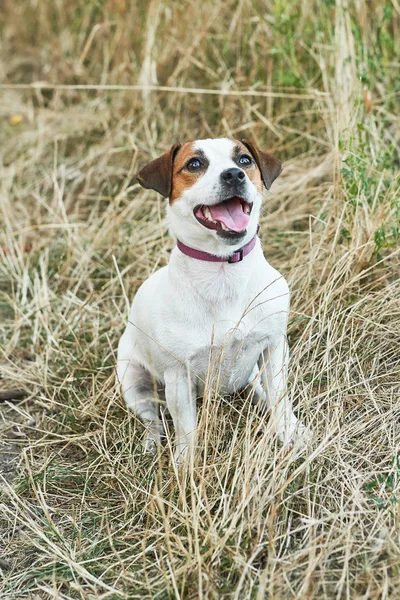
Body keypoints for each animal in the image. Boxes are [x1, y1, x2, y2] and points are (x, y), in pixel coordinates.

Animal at [115, 138, 306, 462]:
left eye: (244, 160)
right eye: (194, 164)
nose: (233, 175)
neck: (223, 268)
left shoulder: (274, 347)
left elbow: (280, 397)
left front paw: (289, 433)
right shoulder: (179, 374)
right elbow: (186, 427)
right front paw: (186, 463)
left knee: (260, 389)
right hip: (133, 380)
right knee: (152, 418)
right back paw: (151, 443)